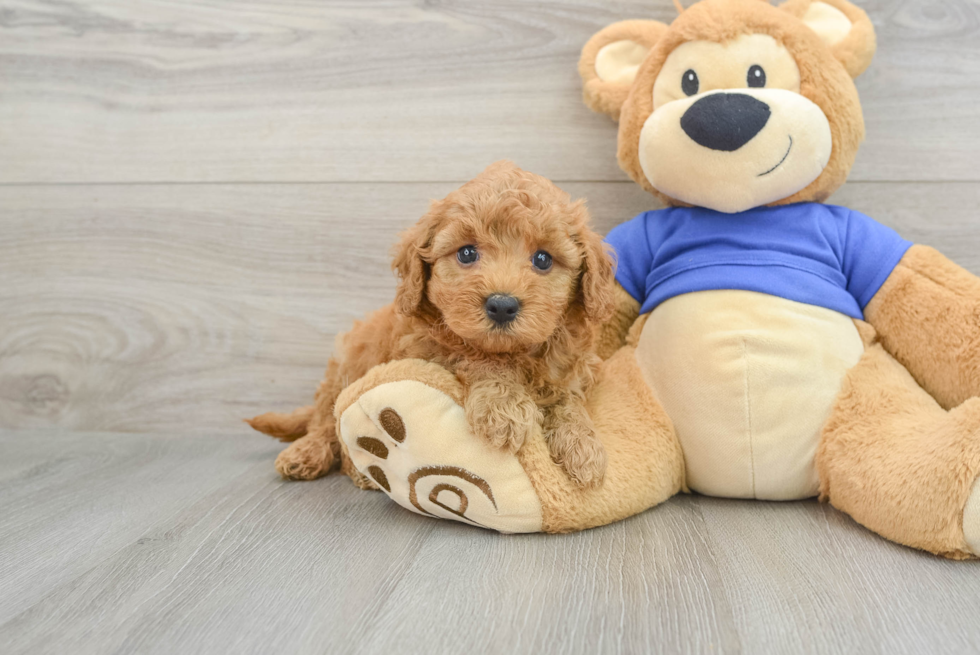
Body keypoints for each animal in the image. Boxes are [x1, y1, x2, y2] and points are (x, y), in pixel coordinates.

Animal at [249, 162, 612, 490]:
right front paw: (504, 409)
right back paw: (312, 455)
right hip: (343, 370)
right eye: (466, 253)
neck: (513, 352)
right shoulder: (427, 349)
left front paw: (584, 447)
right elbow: (475, 358)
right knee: (327, 422)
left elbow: (567, 399)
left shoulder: (573, 368)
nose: (501, 305)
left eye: (543, 259)